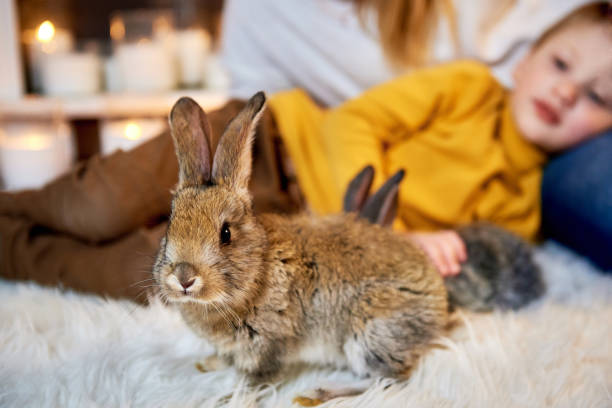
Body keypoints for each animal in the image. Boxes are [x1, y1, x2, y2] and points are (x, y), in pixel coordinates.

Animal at [152, 94, 450, 404]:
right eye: (169, 226)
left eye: (226, 234)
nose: (184, 277)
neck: (258, 271)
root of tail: (438, 301)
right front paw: (208, 363)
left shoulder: (268, 345)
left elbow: (255, 381)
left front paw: (228, 400)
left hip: (370, 334)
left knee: (388, 380)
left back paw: (315, 393)